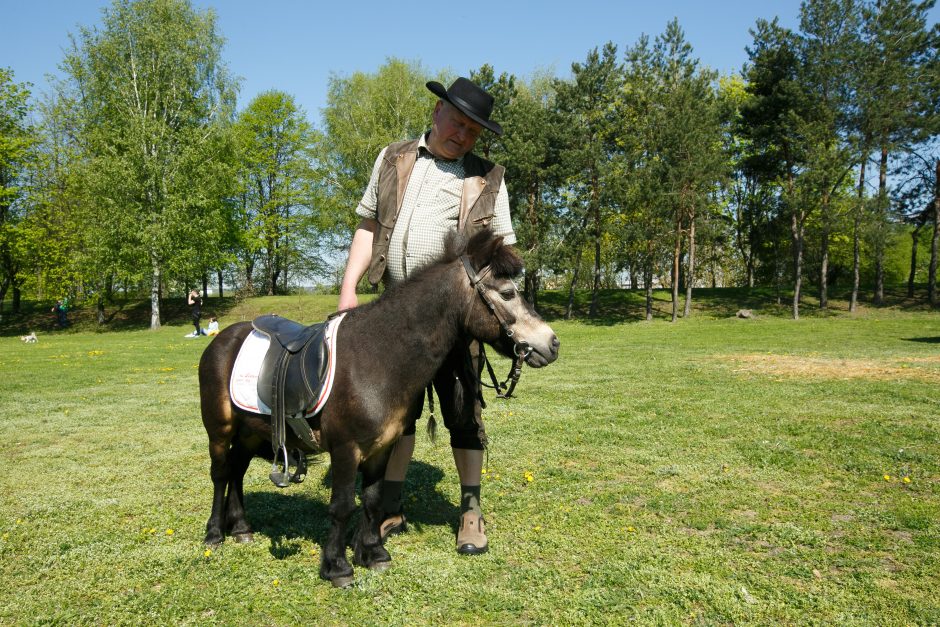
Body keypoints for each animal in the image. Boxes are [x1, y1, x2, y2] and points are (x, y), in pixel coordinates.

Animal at [198, 231, 560, 588]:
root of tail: (222, 339)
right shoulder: (345, 449)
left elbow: (372, 499)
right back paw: (215, 533)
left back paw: (241, 528)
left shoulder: (380, 448)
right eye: (508, 292)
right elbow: (342, 506)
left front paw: (373, 553)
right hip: (219, 430)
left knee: (237, 470)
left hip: (250, 430)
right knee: (221, 473)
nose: (553, 343)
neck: (377, 357)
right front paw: (337, 566)